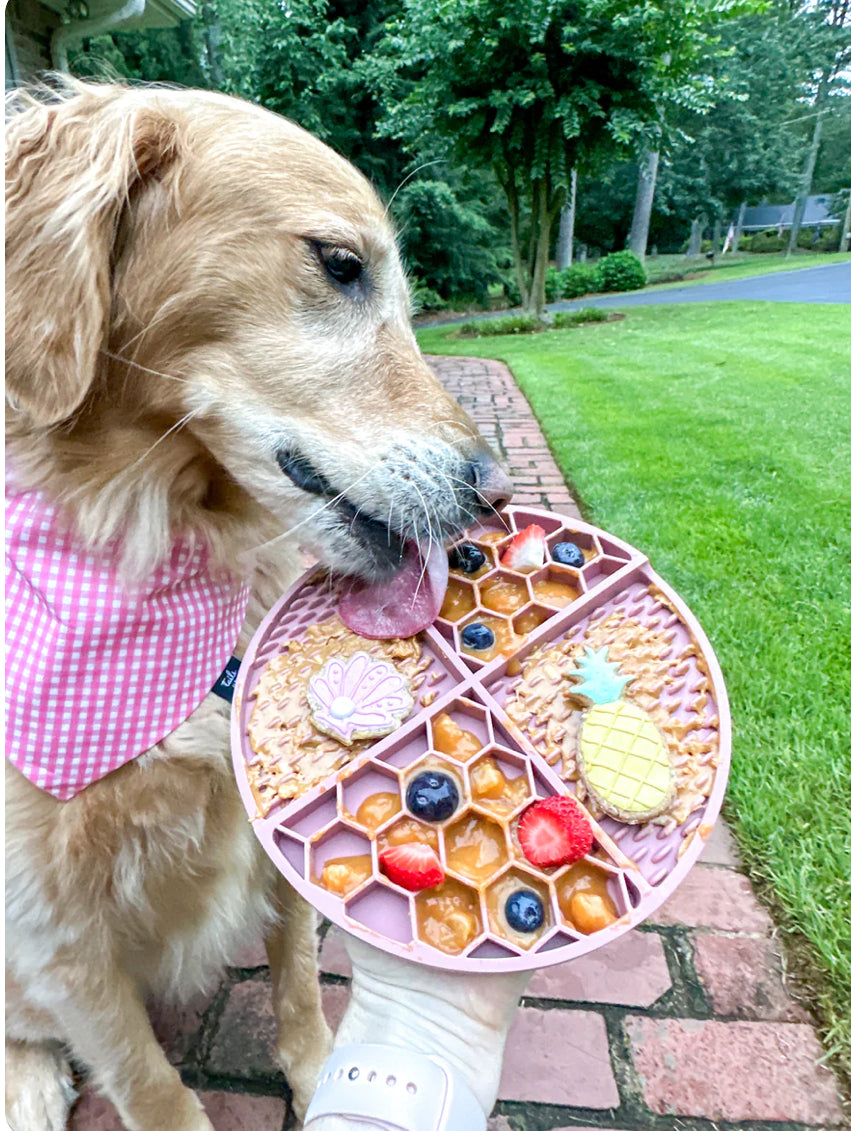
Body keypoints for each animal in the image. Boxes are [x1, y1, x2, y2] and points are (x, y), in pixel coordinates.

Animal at [4, 81, 511, 1131]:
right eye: (340, 264)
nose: (497, 492)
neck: (162, 542)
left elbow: (297, 980)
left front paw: (320, 1073)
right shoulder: (51, 928)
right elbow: (147, 1081)